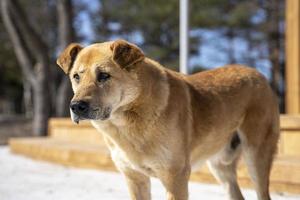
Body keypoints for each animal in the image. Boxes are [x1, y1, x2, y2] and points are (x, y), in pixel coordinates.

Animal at [56, 39, 282, 200]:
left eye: (103, 75)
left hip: (256, 157)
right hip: (220, 167)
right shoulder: (135, 178)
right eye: (76, 77)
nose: (76, 106)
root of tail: (259, 74)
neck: (128, 122)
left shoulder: (175, 177)